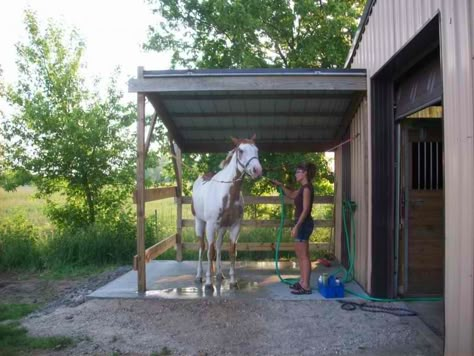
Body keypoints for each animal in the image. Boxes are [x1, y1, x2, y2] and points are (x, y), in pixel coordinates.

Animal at [191, 134, 262, 290]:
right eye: (240, 150)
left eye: (257, 150)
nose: (257, 170)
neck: (226, 194)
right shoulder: (211, 225)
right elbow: (209, 252)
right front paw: (208, 283)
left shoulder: (235, 226)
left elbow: (231, 252)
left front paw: (233, 281)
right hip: (200, 223)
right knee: (202, 247)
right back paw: (199, 276)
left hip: (222, 228)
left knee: (217, 246)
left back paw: (219, 274)